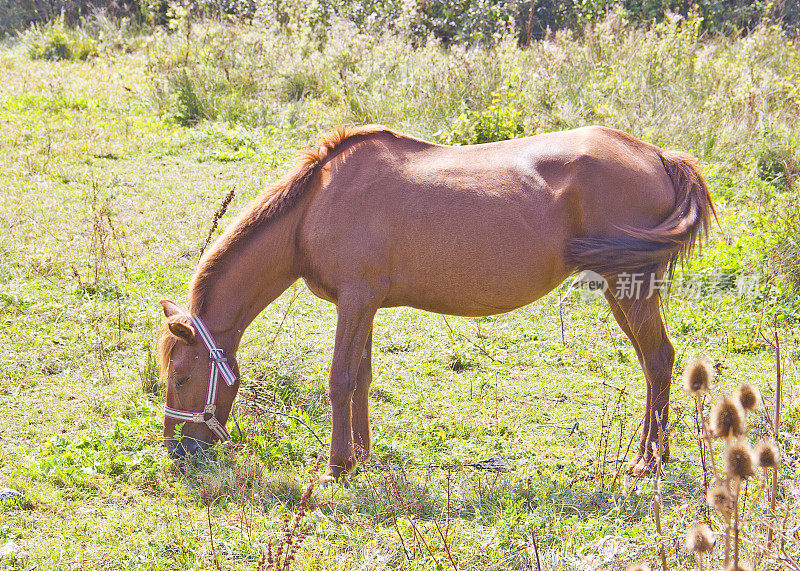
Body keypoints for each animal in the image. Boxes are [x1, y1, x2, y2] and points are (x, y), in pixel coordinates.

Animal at [156, 126, 712, 482]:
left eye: (181, 376)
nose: (177, 452)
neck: (315, 205)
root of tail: (661, 156)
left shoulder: (354, 300)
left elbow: (339, 379)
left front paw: (335, 468)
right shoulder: (366, 304)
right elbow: (362, 378)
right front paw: (361, 455)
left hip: (628, 286)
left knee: (658, 359)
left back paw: (648, 461)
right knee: (654, 363)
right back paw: (652, 455)